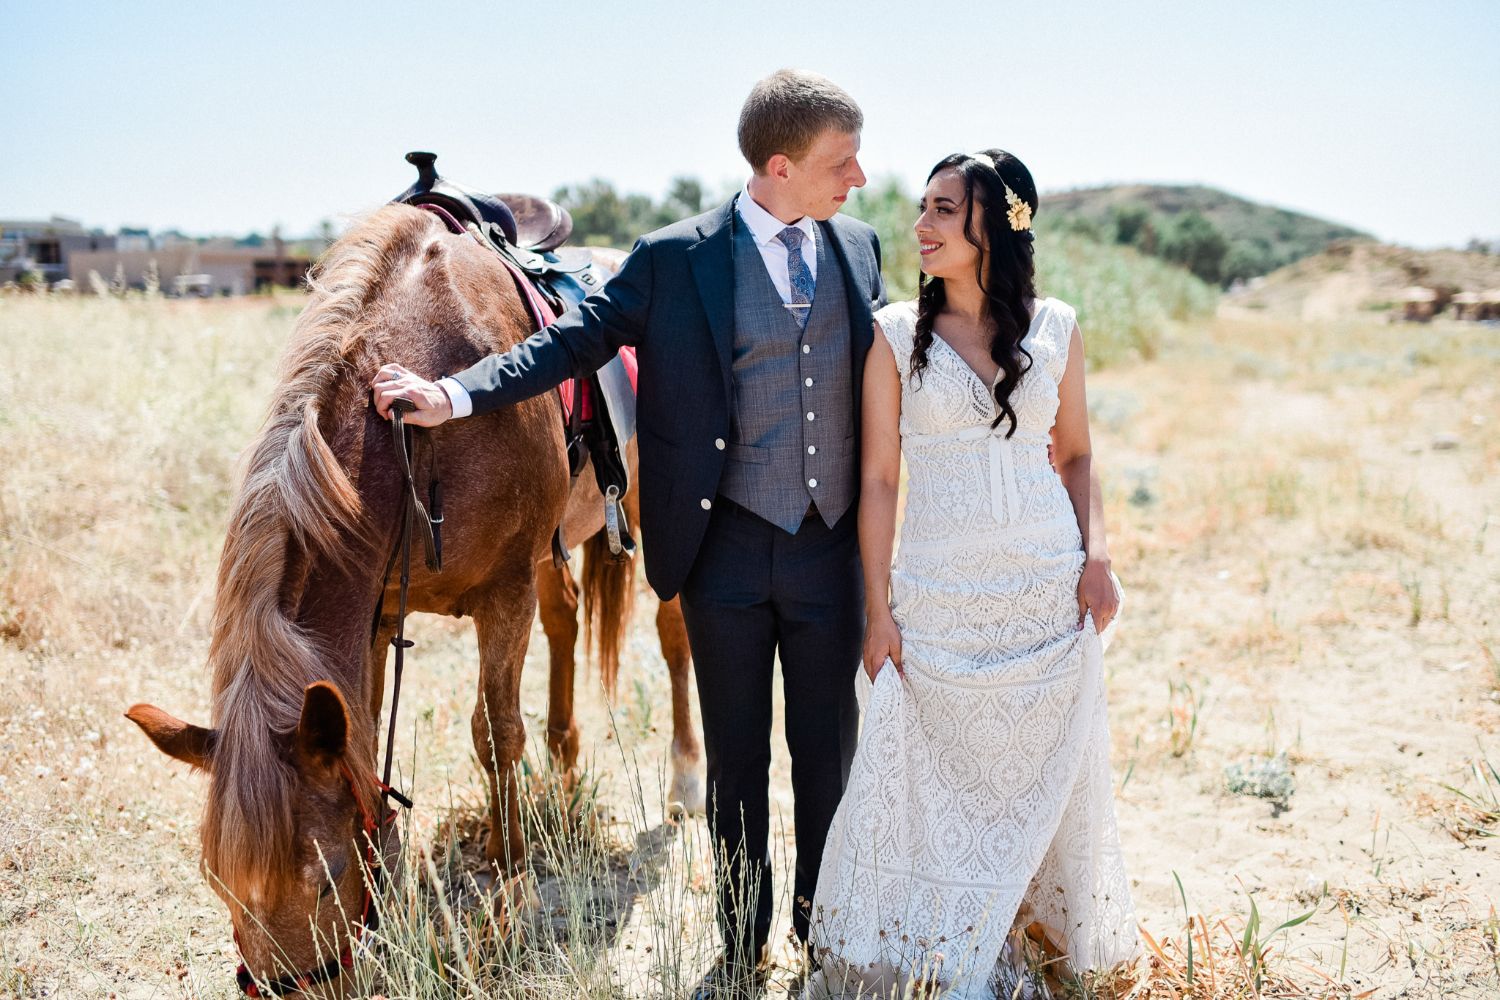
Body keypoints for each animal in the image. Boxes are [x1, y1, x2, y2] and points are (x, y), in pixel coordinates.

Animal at [124, 205, 702, 995]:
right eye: (218, 882)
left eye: (326, 879)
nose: (298, 989)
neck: (418, 427)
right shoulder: (374, 619)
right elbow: (369, 739)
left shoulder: (504, 594)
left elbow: (495, 734)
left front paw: (511, 885)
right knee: (566, 618)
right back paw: (563, 767)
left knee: (673, 634)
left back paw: (685, 778)